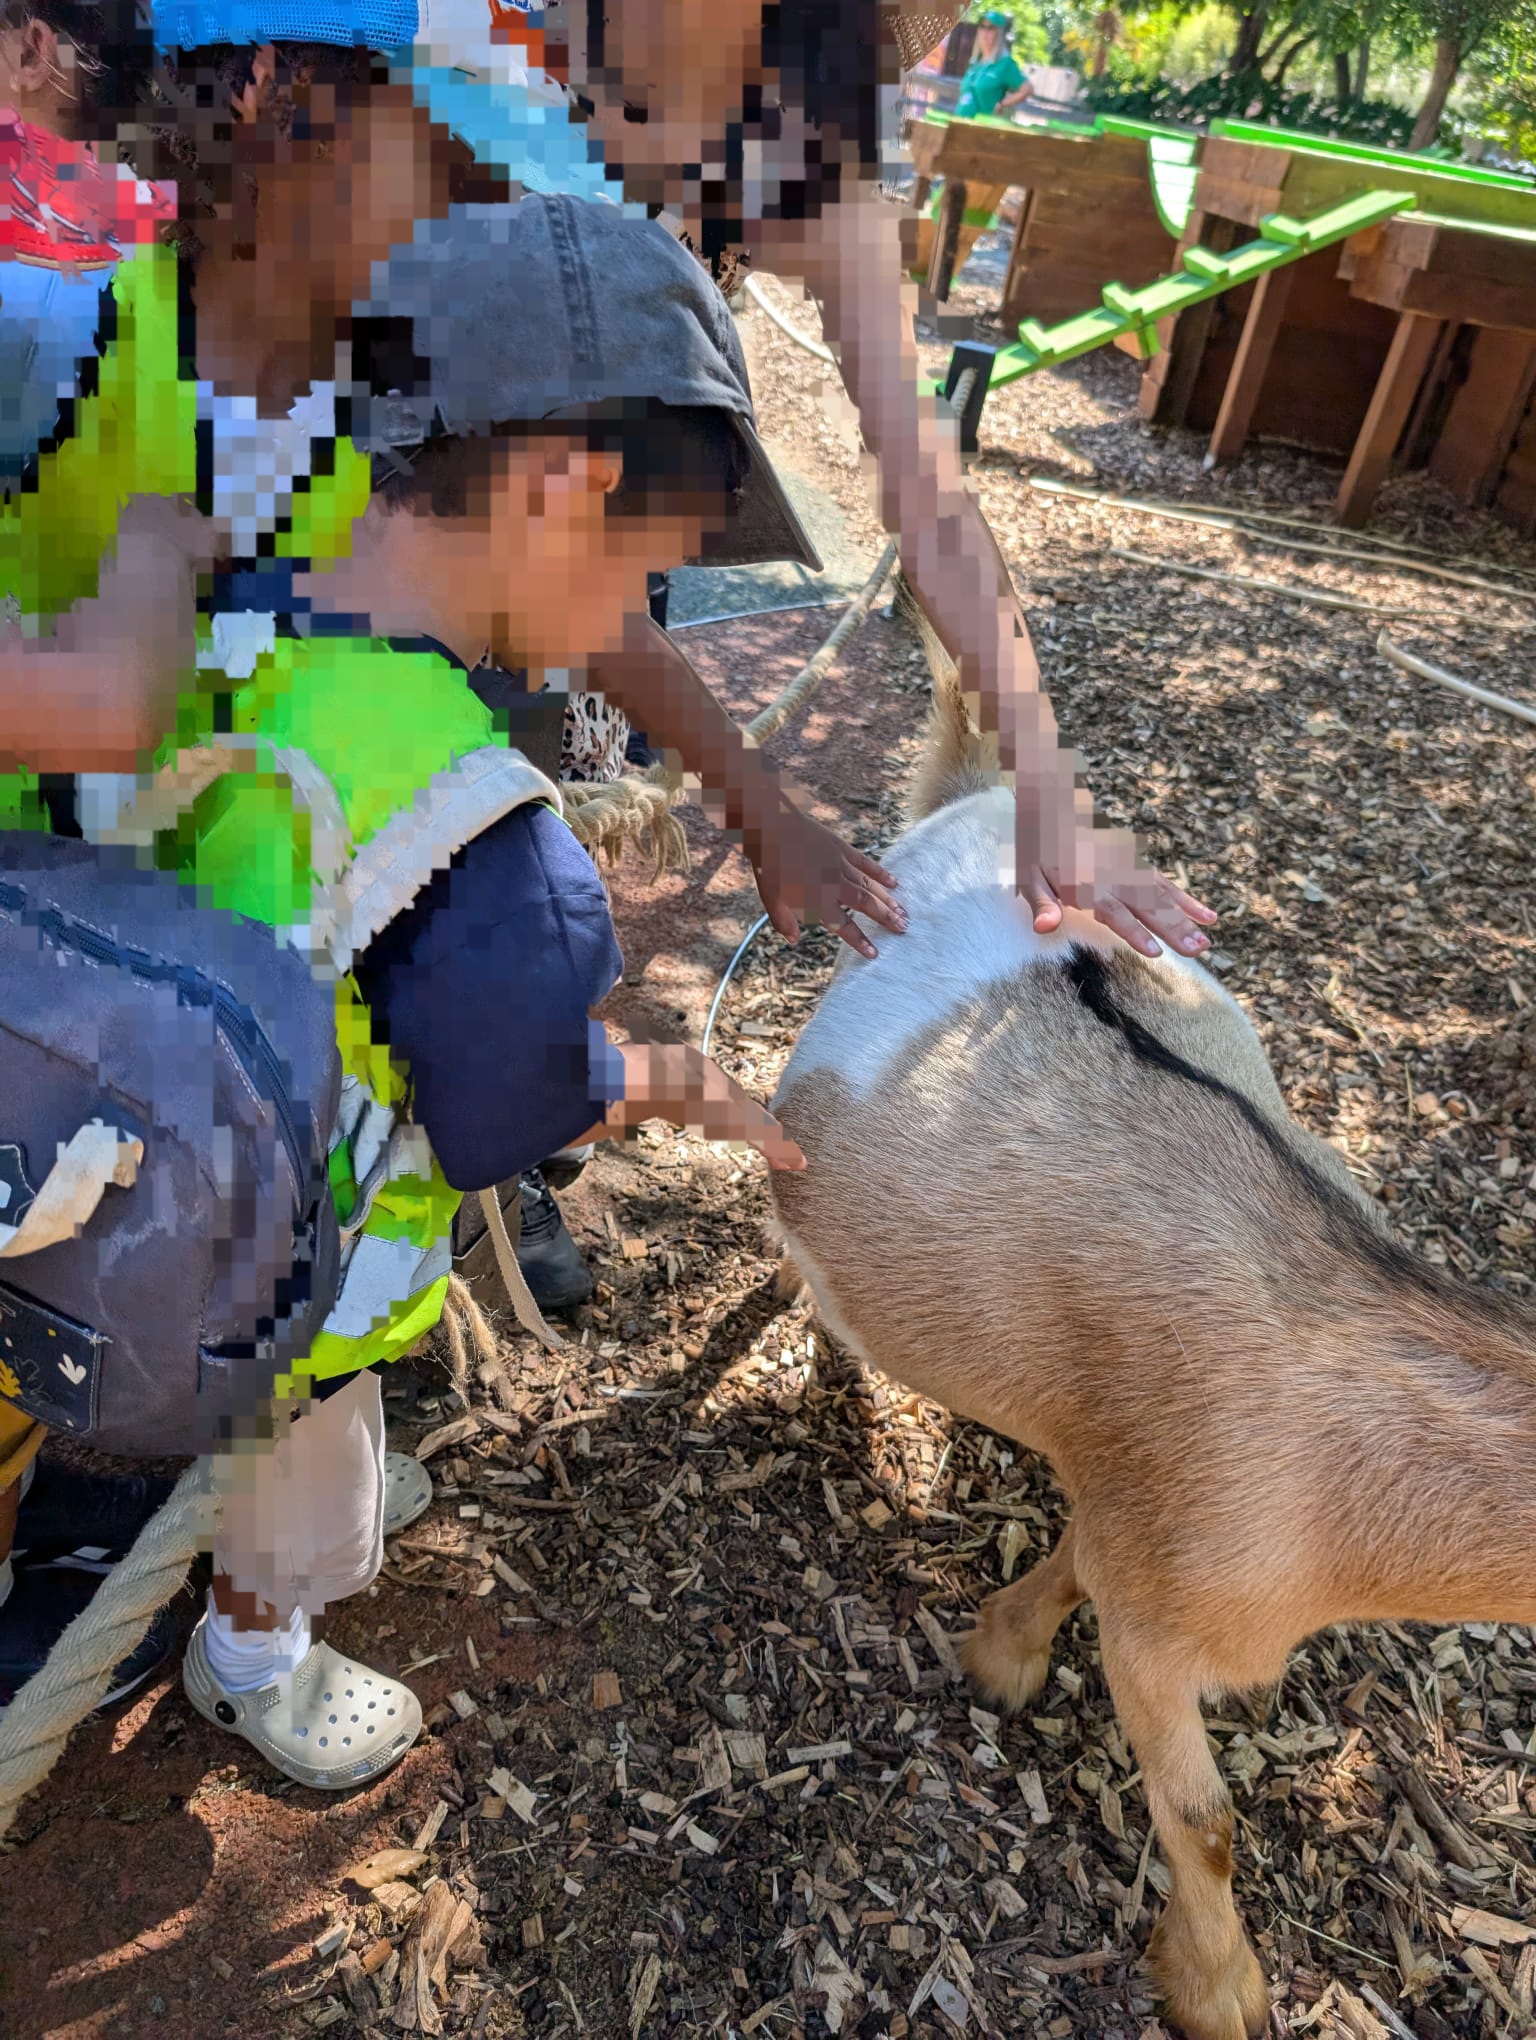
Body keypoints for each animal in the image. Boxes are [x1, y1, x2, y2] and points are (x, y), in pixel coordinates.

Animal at [770, 667, 1536, 2040]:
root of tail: (977, 801)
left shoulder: (1135, 1512)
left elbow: (1076, 1561)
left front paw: (1003, 1648)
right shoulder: (1164, 1618)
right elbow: (1205, 1814)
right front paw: (1220, 1989)